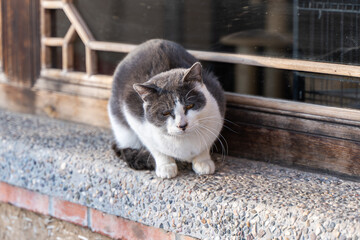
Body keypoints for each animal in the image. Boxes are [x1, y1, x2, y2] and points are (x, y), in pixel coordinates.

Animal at [107, 39, 225, 178]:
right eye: (166, 113)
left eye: (190, 106)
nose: (182, 125)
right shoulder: (135, 118)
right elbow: (156, 148)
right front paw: (166, 165)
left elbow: (206, 144)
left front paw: (203, 161)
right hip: (122, 129)